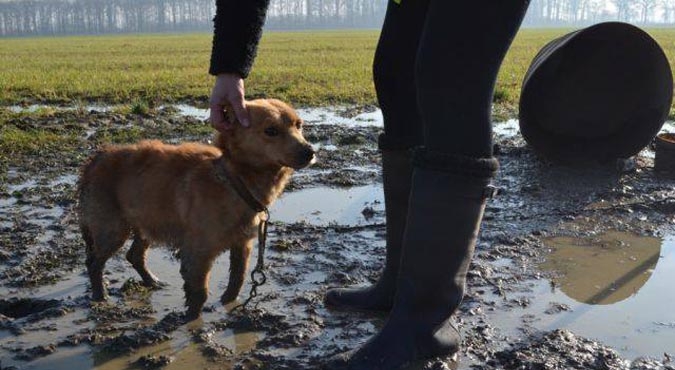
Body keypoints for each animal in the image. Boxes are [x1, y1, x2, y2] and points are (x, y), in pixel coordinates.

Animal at [78, 99, 316, 320]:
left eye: (299, 125)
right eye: (271, 130)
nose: (310, 152)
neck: (233, 180)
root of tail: (95, 159)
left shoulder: (242, 244)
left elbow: (237, 279)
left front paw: (228, 303)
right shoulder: (198, 252)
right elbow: (200, 292)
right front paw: (192, 320)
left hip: (147, 222)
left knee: (134, 255)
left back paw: (152, 282)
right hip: (112, 230)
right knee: (93, 262)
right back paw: (100, 295)